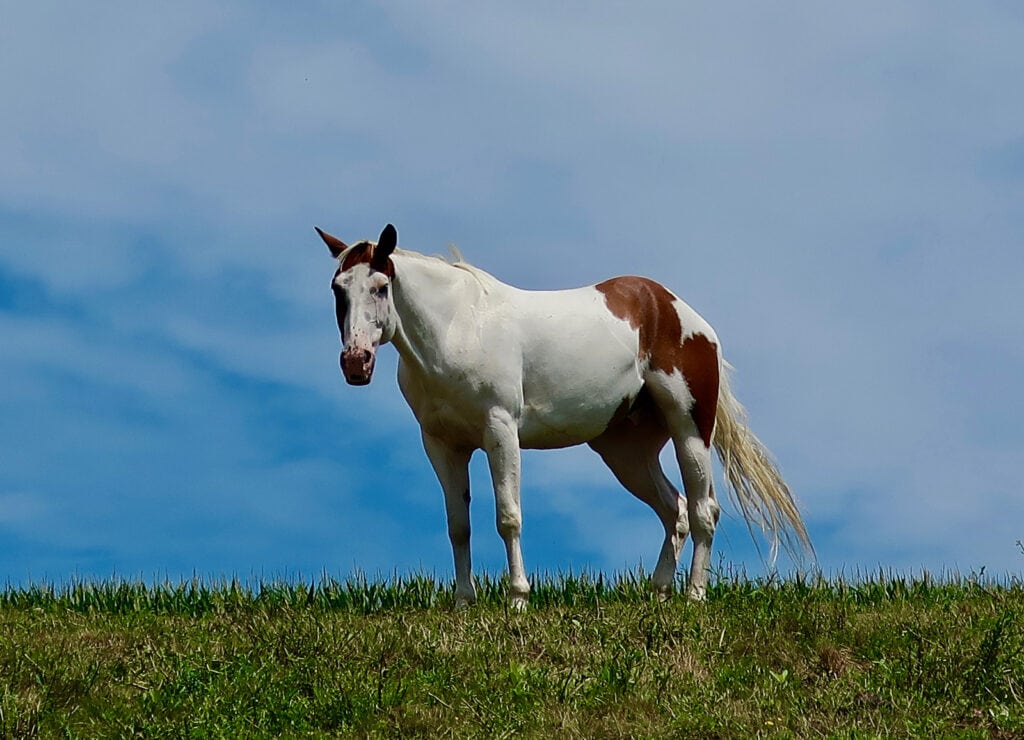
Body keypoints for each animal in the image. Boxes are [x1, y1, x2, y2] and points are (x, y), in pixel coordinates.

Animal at [315, 221, 811, 605]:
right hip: (625, 452)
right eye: (338, 290)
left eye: (380, 287)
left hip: (690, 429)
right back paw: (659, 593)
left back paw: (694, 596)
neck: (458, 327)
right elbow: (459, 525)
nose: (355, 362)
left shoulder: (500, 430)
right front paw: (463, 603)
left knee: (704, 509)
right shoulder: (442, 445)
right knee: (676, 509)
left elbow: (508, 515)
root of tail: (680, 313)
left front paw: (517, 599)